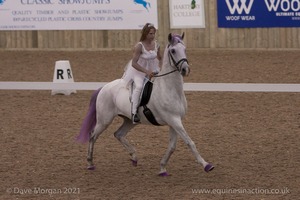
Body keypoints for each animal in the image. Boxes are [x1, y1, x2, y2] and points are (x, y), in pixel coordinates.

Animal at [77, 33, 213, 177]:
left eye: (185, 49)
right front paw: (206, 165)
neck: (169, 89)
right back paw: (90, 163)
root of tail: (103, 87)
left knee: (118, 134)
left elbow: (172, 147)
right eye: (173, 51)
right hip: (104, 121)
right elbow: (189, 142)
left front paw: (162, 168)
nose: (185, 69)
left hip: (129, 120)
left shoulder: (175, 121)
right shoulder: (174, 120)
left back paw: (134, 157)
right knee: (93, 136)